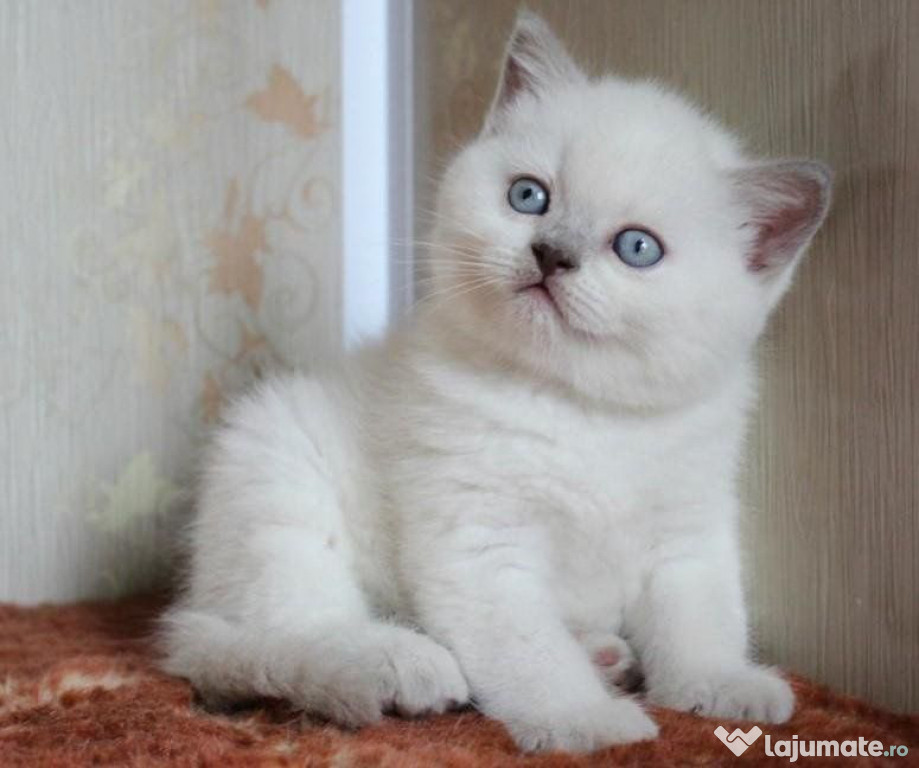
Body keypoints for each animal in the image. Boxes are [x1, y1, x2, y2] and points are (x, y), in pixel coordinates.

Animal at [160, 13, 832, 756]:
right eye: (528, 195)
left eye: (637, 248)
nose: (551, 252)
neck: (582, 408)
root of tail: (197, 606)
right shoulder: (479, 543)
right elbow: (528, 648)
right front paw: (585, 722)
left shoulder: (687, 525)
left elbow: (702, 611)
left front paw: (720, 682)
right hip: (274, 471)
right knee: (288, 628)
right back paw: (398, 661)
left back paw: (603, 653)